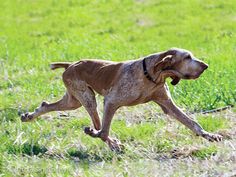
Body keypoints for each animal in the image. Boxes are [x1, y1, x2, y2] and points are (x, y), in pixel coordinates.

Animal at [21, 48, 222, 151]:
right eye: (187, 57)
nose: (205, 65)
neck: (150, 74)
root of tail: (71, 64)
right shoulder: (111, 102)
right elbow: (103, 131)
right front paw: (106, 139)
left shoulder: (168, 105)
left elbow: (193, 123)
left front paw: (209, 135)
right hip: (88, 99)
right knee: (99, 127)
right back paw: (109, 142)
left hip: (74, 101)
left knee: (47, 105)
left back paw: (29, 116)